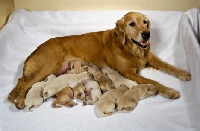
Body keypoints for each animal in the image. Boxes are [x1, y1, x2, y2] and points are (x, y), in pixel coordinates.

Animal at [7, 11, 191, 109]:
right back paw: (20, 100)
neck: (129, 47)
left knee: (22, 81)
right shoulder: (128, 72)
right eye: (132, 24)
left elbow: (168, 65)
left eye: (145, 22)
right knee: (24, 83)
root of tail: (37, 48)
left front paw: (183, 73)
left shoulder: (149, 57)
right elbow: (154, 81)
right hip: (49, 65)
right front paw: (170, 91)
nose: (147, 34)